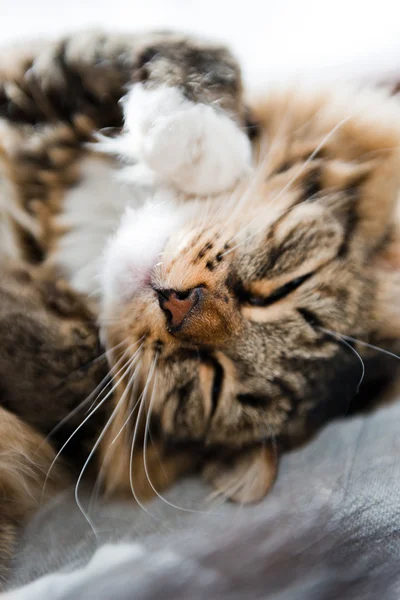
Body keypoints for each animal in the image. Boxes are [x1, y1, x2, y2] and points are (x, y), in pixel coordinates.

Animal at [0, 29, 400, 584]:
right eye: (274, 292)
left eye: (212, 376)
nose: (178, 305)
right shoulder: (35, 71)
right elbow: (164, 52)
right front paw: (193, 139)